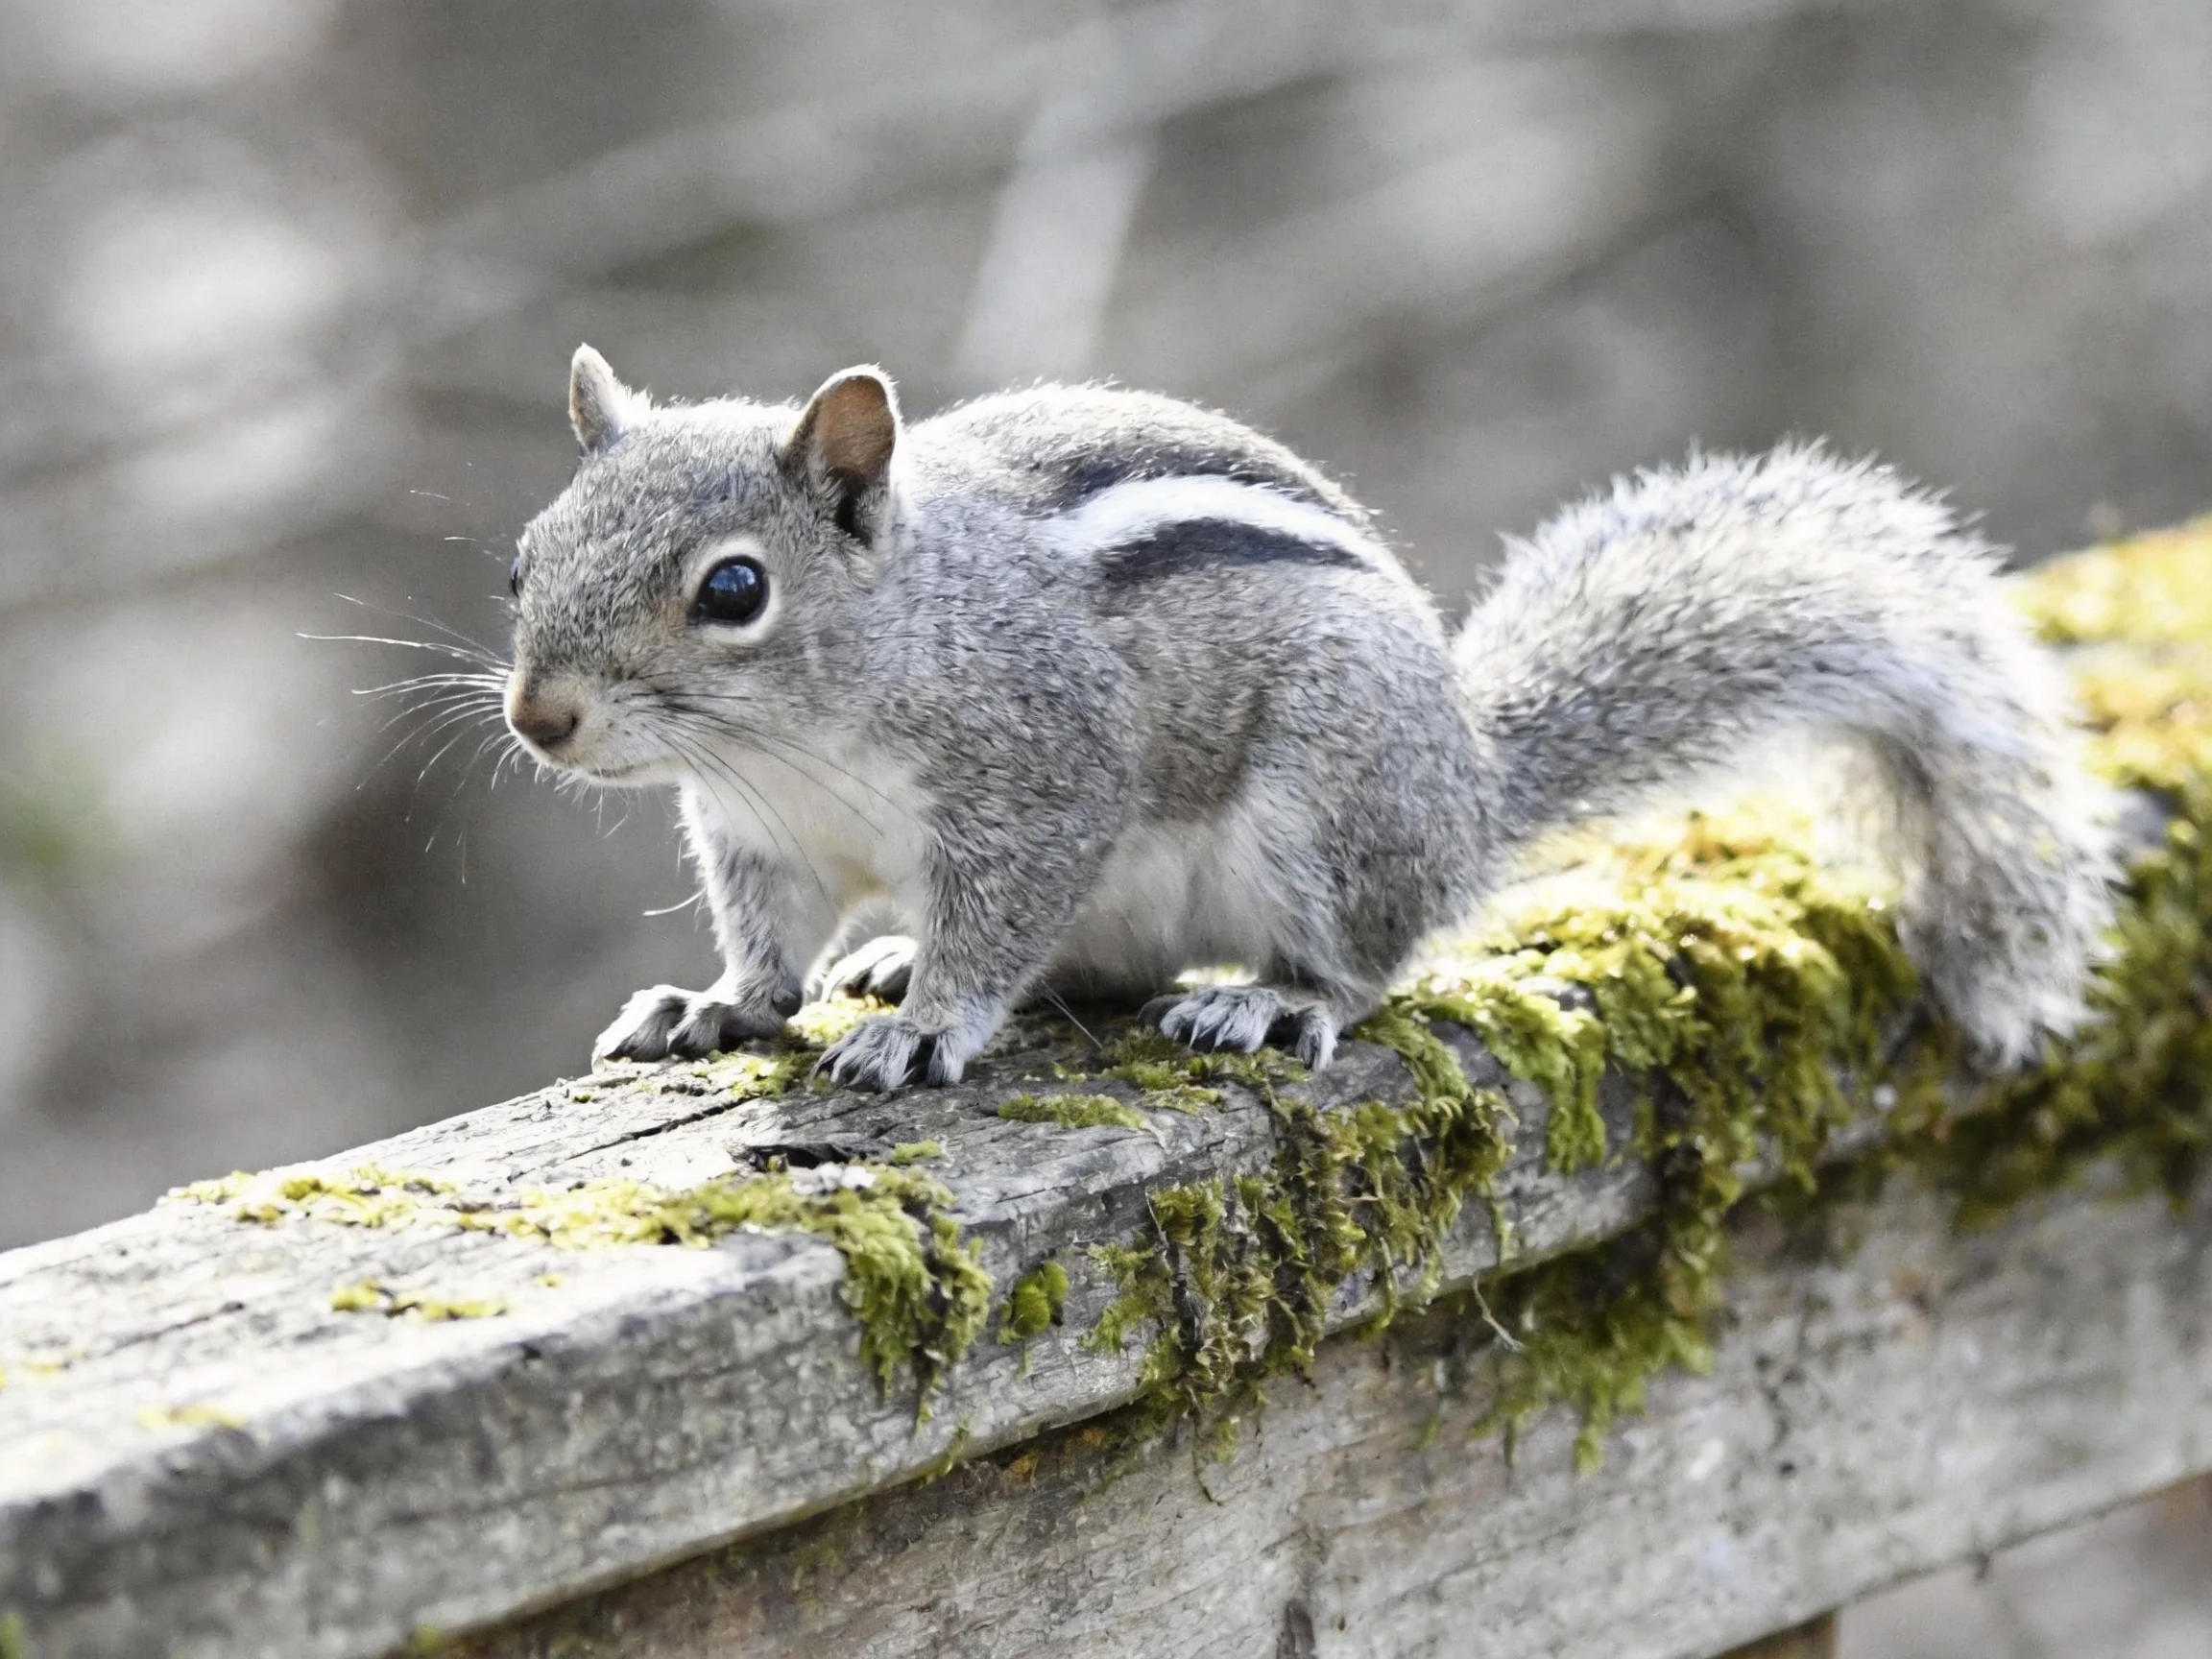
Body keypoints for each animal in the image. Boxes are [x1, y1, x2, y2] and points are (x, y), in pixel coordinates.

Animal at [501, 345, 2115, 1093]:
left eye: (734, 589)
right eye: (525, 554)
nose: (539, 719)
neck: (792, 743)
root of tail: (1471, 790)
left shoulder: (1042, 774)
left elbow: (1002, 915)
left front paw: (929, 1026)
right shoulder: (760, 838)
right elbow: (770, 946)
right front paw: (720, 1004)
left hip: (1332, 804)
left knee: (1368, 962)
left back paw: (1273, 999)